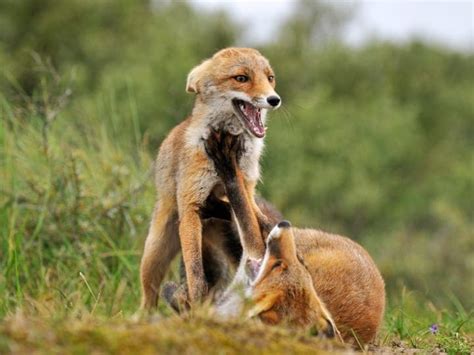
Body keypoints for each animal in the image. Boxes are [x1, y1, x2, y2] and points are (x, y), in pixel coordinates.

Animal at [141, 46, 282, 308]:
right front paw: (197, 300)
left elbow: (255, 219)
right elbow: (196, 273)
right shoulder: (191, 205)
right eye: (241, 78)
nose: (274, 99)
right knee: (149, 295)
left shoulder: (246, 188)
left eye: (270, 78)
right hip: (154, 255)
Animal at [206, 132, 386, 344]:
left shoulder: (255, 249)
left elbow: (241, 201)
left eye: (277, 266)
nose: (285, 224)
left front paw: (228, 167)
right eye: (301, 263)